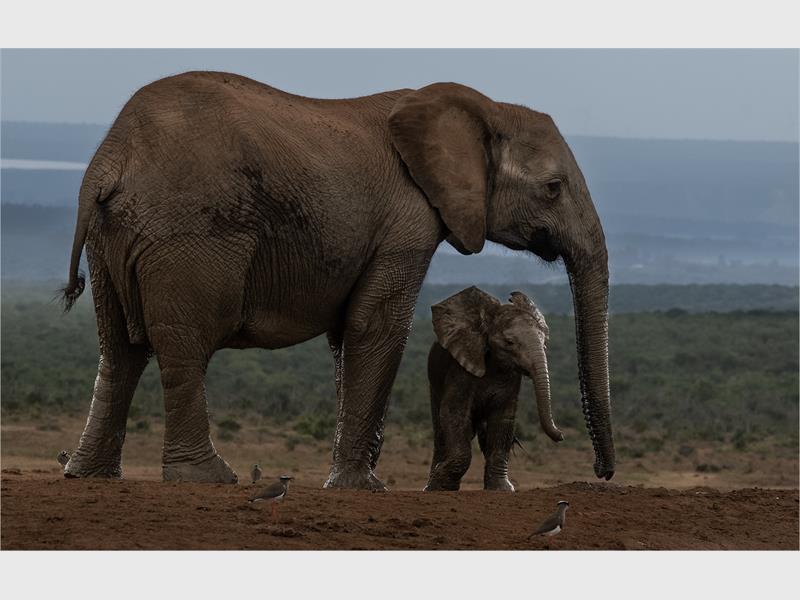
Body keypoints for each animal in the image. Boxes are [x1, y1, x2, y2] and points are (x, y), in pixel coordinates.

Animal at [425, 287, 561, 491]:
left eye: (544, 342)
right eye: (510, 342)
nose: (560, 435)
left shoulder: (512, 377)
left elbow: (503, 419)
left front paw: (502, 488)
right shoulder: (461, 368)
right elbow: (454, 414)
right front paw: (440, 484)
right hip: (434, 382)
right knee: (441, 430)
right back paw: (432, 485)